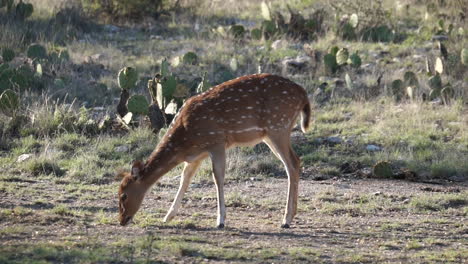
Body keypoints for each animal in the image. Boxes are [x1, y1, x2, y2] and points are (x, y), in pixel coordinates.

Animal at [117, 73, 310, 228]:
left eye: (123, 195)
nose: (122, 220)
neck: (185, 139)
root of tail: (303, 94)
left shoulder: (216, 142)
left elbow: (217, 177)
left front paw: (221, 221)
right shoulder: (196, 156)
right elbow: (185, 178)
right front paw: (168, 217)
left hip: (278, 127)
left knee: (292, 164)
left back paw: (286, 220)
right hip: (271, 134)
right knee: (296, 162)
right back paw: (291, 216)